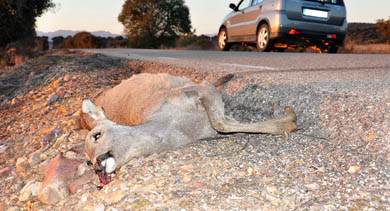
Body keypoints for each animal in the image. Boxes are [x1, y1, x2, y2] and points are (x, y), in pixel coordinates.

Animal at [80, 73, 298, 177]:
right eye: (88, 162)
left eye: (97, 135)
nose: (98, 165)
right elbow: (226, 123)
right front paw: (288, 120)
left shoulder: (197, 90)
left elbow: (221, 123)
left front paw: (289, 119)